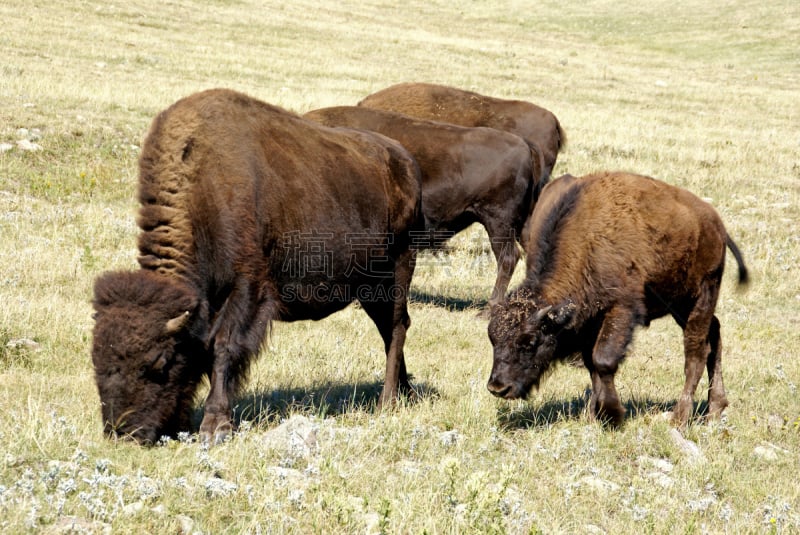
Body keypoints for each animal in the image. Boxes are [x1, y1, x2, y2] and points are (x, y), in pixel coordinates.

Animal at [90, 89, 422, 448]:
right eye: (96, 360)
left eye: (159, 362)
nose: (122, 433)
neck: (202, 185)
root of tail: (404, 161)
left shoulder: (246, 289)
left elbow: (223, 348)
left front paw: (215, 426)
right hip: (369, 288)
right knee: (389, 330)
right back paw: (405, 393)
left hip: (395, 273)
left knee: (397, 327)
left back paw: (387, 402)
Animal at [488, 174, 752, 430]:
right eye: (493, 339)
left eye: (529, 342)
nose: (498, 387)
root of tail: (716, 224)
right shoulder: (589, 322)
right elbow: (592, 366)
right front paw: (593, 416)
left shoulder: (620, 310)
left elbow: (603, 361)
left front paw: (613, 415)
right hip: (680, 305)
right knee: (714, 335)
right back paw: (715, 409)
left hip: (702, 295)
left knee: (696, 354)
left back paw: (680, 418)